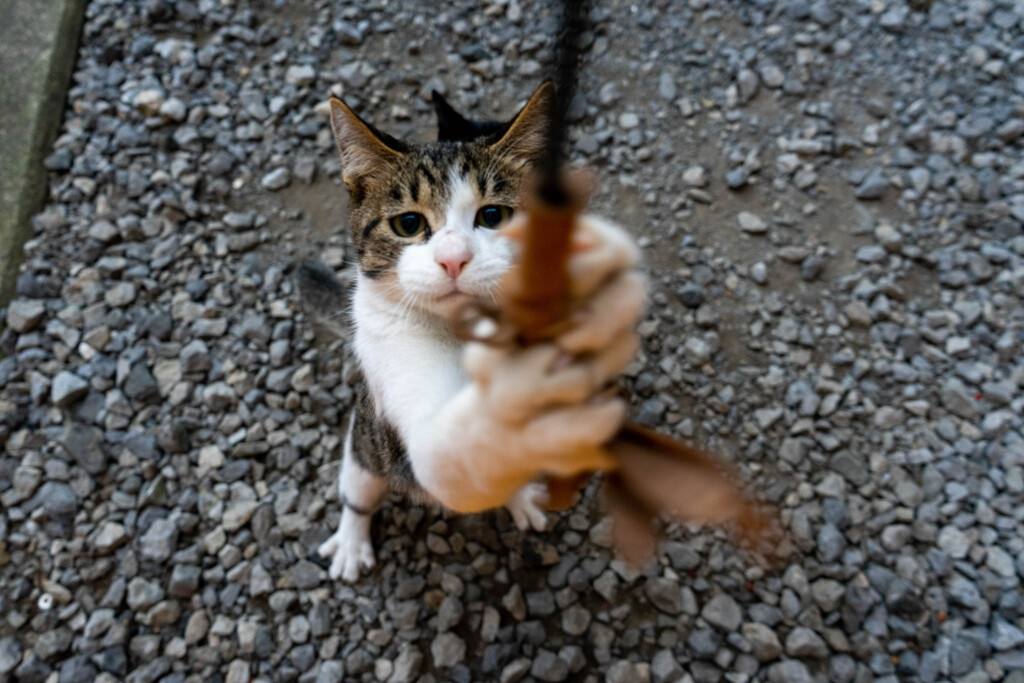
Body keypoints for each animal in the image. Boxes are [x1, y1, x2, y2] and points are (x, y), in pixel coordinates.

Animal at [299, 82, 643, 581]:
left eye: (494, 215)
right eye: (408, 223)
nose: (454, 259)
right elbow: (448, 450)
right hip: (365, 445)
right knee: (359, 488)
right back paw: (351, 539)